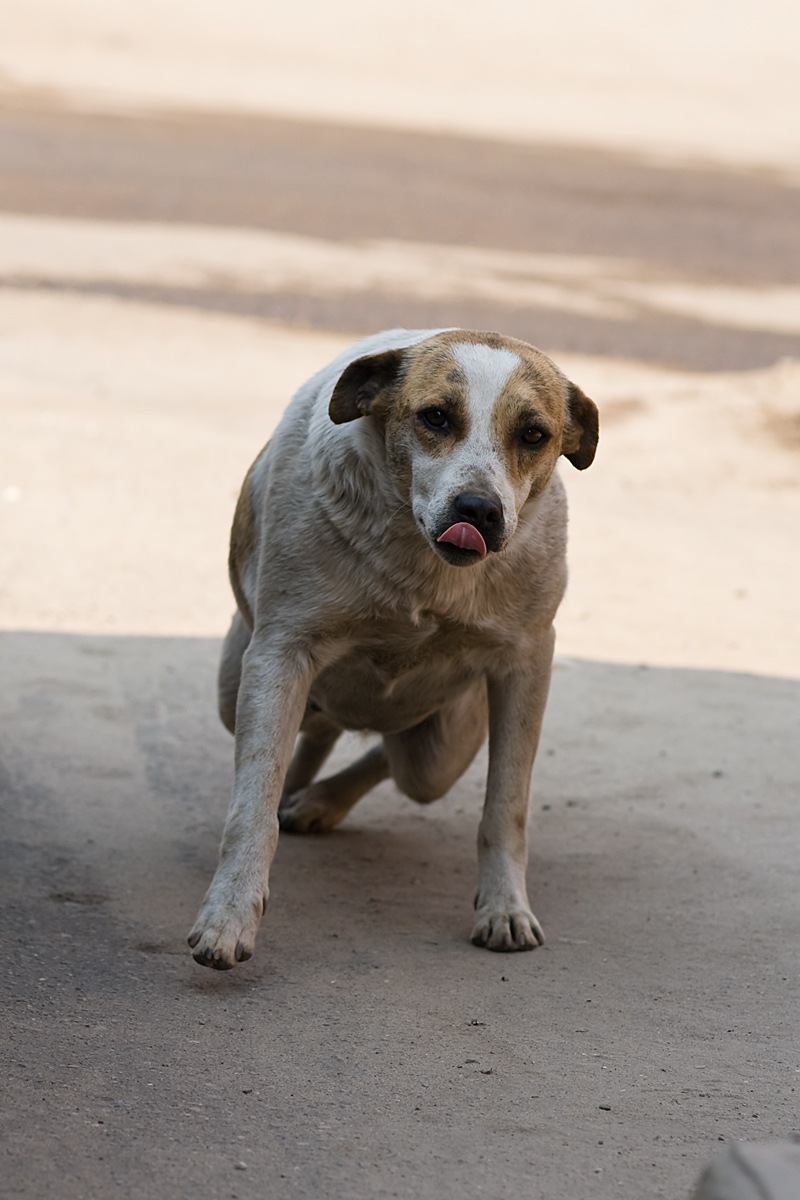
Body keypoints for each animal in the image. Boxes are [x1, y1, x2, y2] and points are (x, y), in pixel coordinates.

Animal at [188, 326, 597, 964]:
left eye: (534, 434)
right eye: (436, 417)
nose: (478, 510)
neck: (423, 567)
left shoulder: (526, 664)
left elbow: (506, 806)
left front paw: (504, 907)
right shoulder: (280, 654)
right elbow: (252, 805)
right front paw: (228, 916)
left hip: (442, 747)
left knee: (396, 756)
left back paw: (320, 798)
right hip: (235, 684)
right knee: (310, 726)